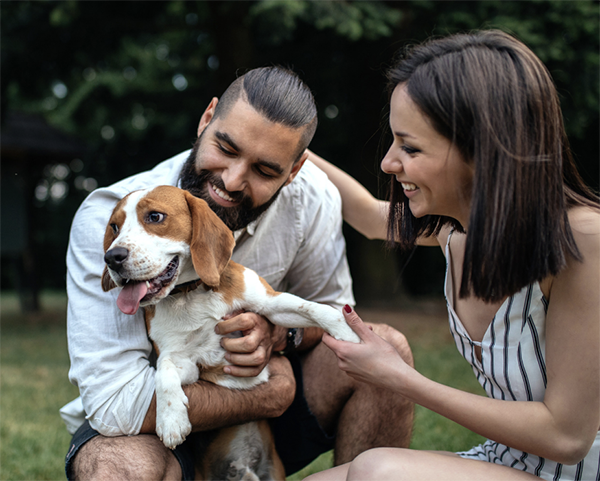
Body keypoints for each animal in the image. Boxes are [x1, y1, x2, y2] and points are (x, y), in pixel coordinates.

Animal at [101, 185, 358, 480]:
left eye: (155, 216)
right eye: (114, 227)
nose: (112, 257)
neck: (191, 293)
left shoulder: (270, 304)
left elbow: (315, 308)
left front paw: (348, 332)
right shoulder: (185, 361)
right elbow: (163, 372)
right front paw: (171, 420)